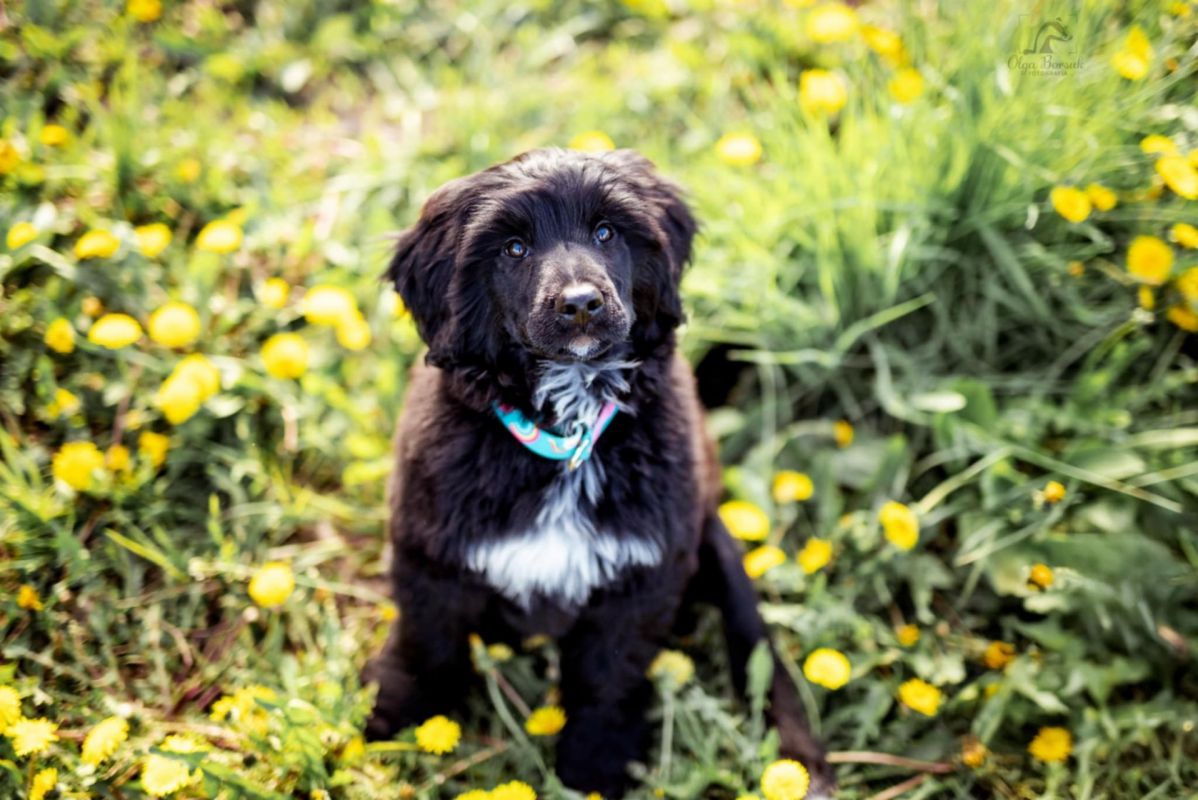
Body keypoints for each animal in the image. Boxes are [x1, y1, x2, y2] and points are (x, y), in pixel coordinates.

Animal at [364, 148, 833, 797]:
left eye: (607, 233)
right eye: (513, 248)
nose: (582, 303)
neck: (568, 432)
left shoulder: (641, 574)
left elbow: (607, 680)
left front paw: (592, 770)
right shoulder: (429, 553)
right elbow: (427, 648)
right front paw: (390, 723)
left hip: (714, 543)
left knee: (758, 650)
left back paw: (800, 763)